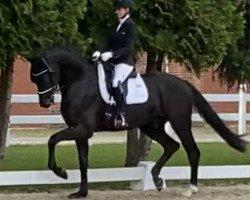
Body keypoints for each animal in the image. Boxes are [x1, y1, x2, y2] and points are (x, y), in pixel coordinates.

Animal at [27, 47, 246, 198]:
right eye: (34, 79)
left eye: (46, 74)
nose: (45, 102)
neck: (80, 82)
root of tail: (183, 84)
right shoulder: (80, 131)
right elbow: (83, 161)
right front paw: (81, 192)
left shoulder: (82, 129)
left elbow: (52, 139)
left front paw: (60, 172)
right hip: (151, 126)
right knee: (171, 145)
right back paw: (156, 178)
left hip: (180, 122)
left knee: (192, 150)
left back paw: (190, 189)